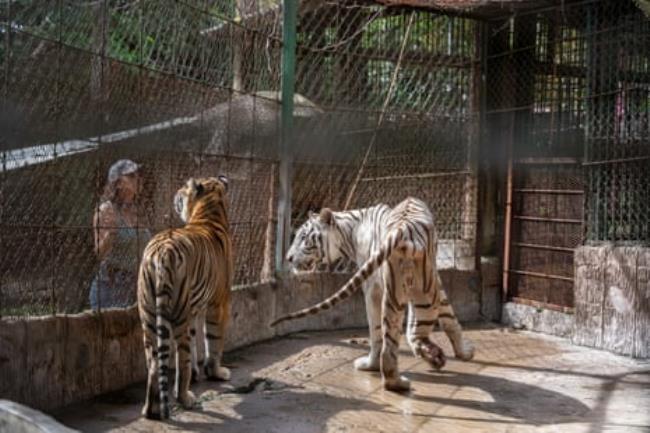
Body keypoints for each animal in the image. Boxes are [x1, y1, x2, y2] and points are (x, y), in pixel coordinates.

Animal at [270, 197, 474, 392]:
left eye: (303, 237)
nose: (288, 258)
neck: (349, 233)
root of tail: (403, 229)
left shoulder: (373, 286)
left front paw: (457, 353)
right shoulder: (430, 280)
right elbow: (446, 315)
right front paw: (462, 353)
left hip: (404, 291)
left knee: (388, 338)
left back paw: (390, 371)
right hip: (419, 292)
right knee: (402, 337)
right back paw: (412, 370)